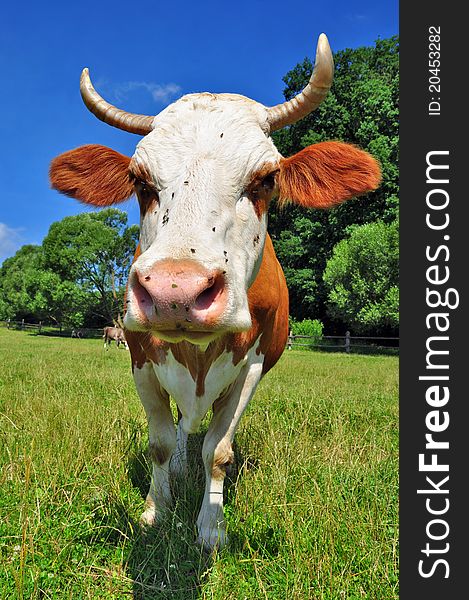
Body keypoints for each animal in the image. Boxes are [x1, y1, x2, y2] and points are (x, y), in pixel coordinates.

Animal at [48, 32, 380, 548]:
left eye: (266, 179)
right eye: (139, 181)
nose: (175, 291)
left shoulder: (252, 367)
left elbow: (218, 450)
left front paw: (211, 524)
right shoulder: (140, 358)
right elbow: (162, 442)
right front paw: (156, 509)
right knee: (184, 430)